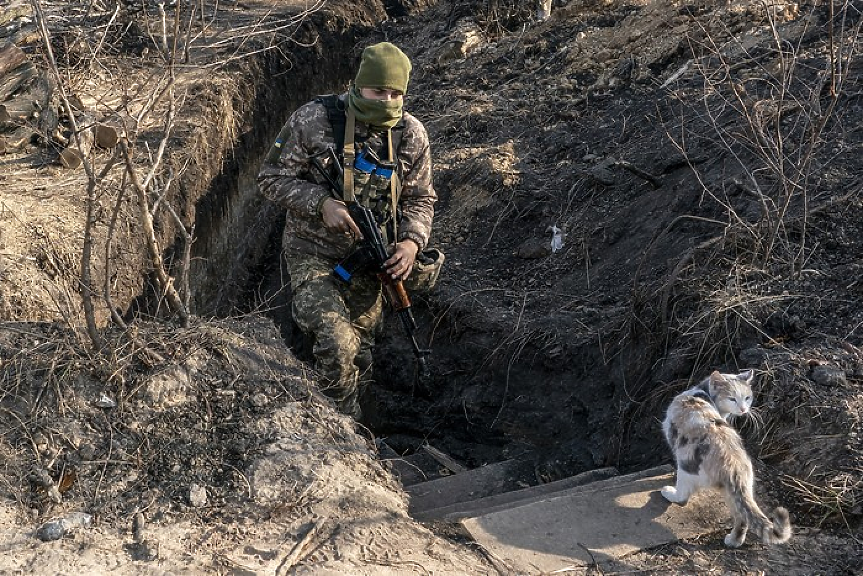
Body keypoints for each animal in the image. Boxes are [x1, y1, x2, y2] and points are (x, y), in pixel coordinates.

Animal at [664, 372, 792, 548]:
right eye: (732, 399)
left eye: (747, 397)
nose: (743, 409)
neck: (700, 393)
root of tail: (733, 464)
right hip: (737, 490)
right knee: (742, 517)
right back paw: (733, 541)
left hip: (686, 466)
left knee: (683, 496)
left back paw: (669, 492)